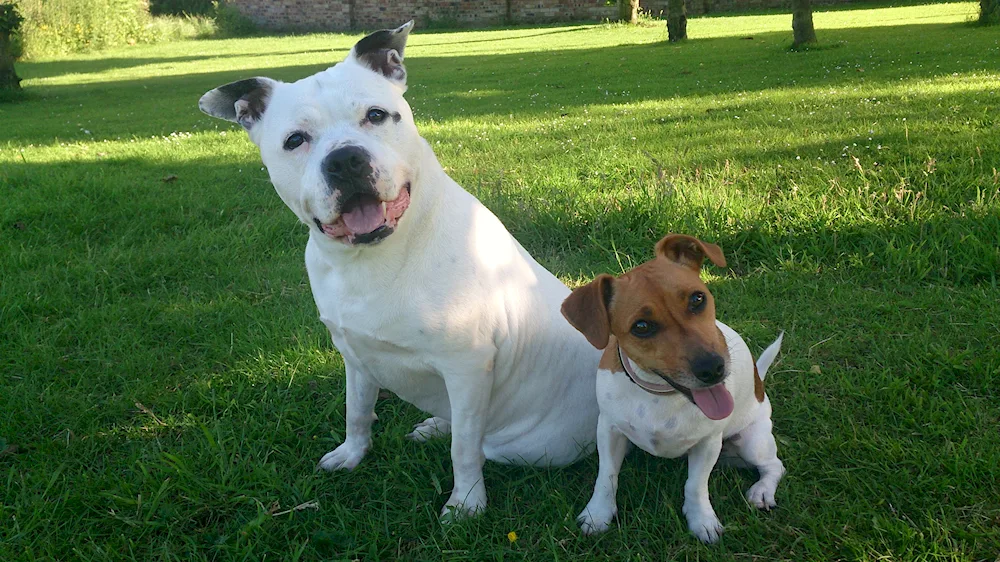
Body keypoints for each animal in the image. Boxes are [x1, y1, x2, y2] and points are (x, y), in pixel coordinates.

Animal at [199, 21, 596, 516]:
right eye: (294, 140)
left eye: (376, 115)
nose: (345, 160)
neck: (372, 259)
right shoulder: (354, 356)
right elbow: (356, 412)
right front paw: (351, 454)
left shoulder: (467, 367)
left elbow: (465, 450)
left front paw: (466, 503)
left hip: (533, 444)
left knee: (481, 440)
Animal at [560, 234, 784, 540]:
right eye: (641, 326)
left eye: (697, 298)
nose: (713, 368)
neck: (660, 395)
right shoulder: (609, 430)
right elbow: (606, 476)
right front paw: (598, 513)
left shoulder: (707, 443)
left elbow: (695, 485)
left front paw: (702, 520)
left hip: (752, 441)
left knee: (774, 466)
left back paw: (762, 491)